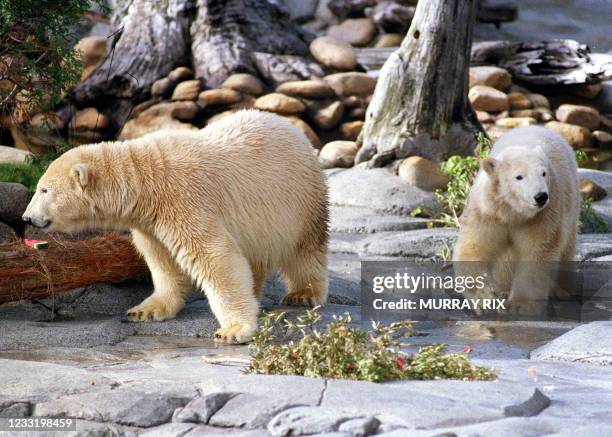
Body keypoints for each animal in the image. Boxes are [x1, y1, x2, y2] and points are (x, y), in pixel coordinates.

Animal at [22, 110, 330, 342]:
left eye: (44, 190)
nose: (26, 218)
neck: (145, 182)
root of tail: (295, 130)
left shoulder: (184, 200)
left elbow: (214, 256)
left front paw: (233, 330)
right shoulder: (150, 222)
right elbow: (162, 261)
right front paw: (145, 310)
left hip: (300, 199)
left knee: (305, 249)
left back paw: (303, 294)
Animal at [454, 125, 580, 310]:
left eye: (543, 173)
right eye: (519, 176)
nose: (540, 196)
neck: (513, 212)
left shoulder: (544, 214)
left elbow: (537, 250)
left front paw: (522, 305)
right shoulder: (487, 211)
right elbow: (475, 246)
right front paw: (485, 298)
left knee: (567, 244)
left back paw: (564, 290)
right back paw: (504, 288)